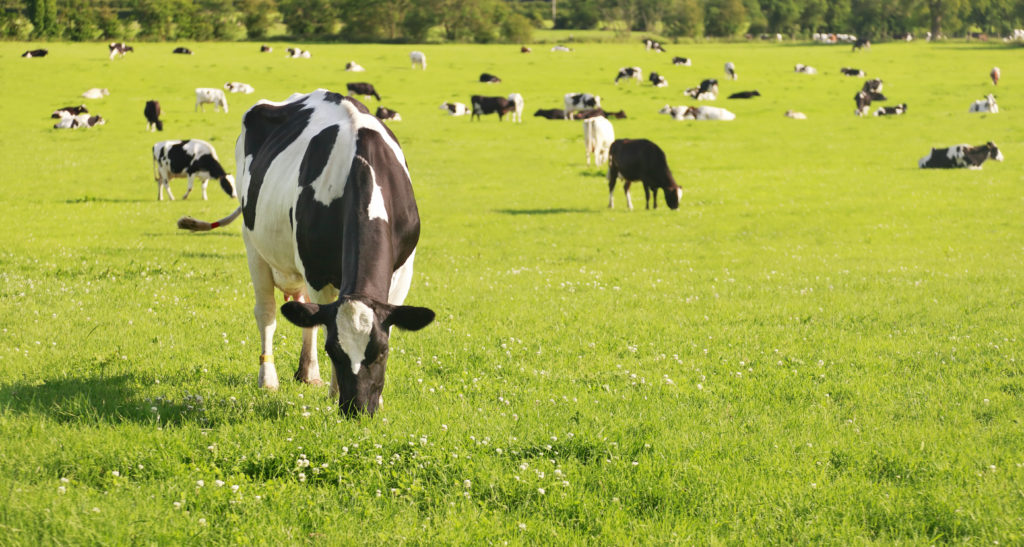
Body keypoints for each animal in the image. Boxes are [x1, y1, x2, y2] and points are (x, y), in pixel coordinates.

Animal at [176, 90, 432, 417]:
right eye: (333, 351)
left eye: (382, 351)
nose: (357, 409)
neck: (363, 165)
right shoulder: (317, 270)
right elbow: (320, 322)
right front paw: (334, 392)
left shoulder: (403, 271)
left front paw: (380, 399)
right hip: (254, 245)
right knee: (268, 313)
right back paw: (268, 378)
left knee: (304, 308)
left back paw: (308, 374)